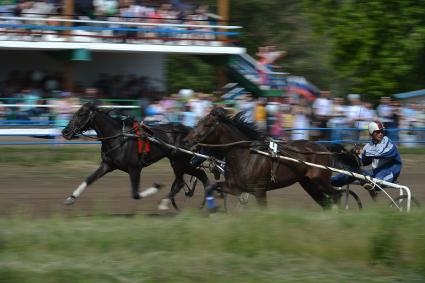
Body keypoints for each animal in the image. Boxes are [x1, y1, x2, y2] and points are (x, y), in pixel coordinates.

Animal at [61, 102, 210, 211]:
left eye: (81, 114)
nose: (65, 131)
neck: (119, 137)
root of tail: (190, 130)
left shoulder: (135, 168)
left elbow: (136, 194)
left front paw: (156, 186)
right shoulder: (107, 165)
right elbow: (88, 179)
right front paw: (71, 198)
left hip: (178, 161)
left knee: (181, 182)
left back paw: (165, 203)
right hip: (182, 162)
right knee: (201, 175)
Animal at [184, 107, 340, 210]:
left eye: (207, 125)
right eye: (198, 122)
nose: (187, 141)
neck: (246, 156)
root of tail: (324, 148)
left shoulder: (259, 190)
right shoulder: (235, 187)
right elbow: (211, 187)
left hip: (320, 180)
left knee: (337, 194)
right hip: (308, 183)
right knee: (325, 202)